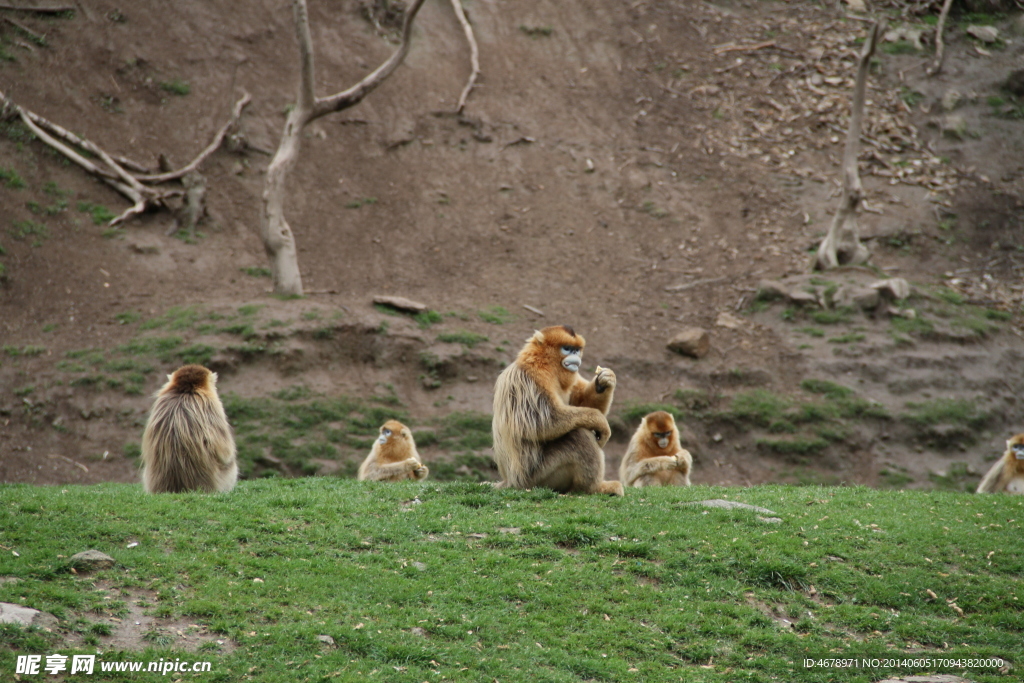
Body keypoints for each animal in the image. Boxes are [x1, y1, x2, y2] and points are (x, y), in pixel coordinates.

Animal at [489, 325, 622, 497]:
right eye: (567, 349)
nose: (575, 356)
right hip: (535, 477)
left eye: (576, 350)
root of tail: (509, 480)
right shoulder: (533, 377)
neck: (546, 364)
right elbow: (543, 423)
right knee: (579, 436)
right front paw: (601, 422)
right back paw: (593, 489)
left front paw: (604, 381)